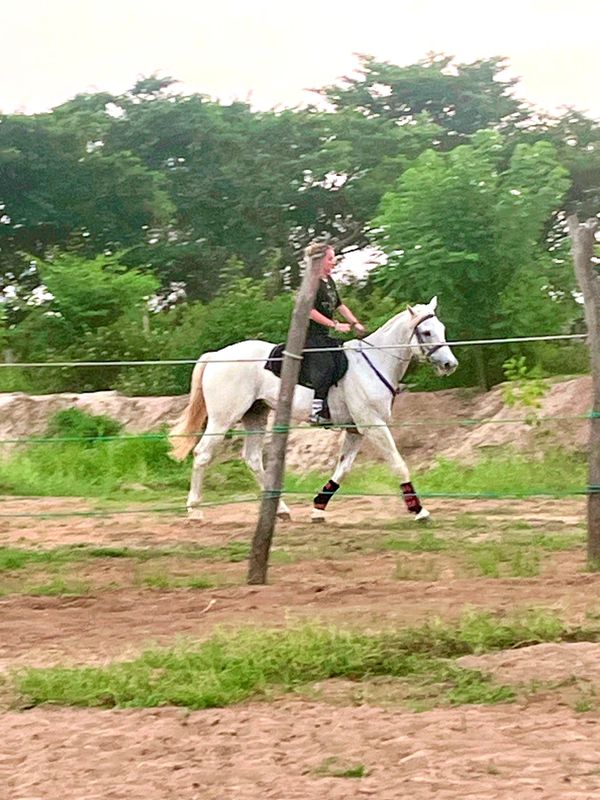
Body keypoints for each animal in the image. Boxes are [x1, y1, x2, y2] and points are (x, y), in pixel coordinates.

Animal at [169, 296, 458, 523]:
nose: (449, 364)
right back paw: (194, 511)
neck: (375, 362)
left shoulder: (356, 430)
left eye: (442, 328)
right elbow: (398, 463)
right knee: (203, 454)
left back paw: (281, 510)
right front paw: (419, 510)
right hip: (223, 418)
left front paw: (319, 507)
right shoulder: (372, 425)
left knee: (252, 459)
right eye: (427, 332)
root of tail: (216, 355)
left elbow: (343, 468)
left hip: (256, 415)